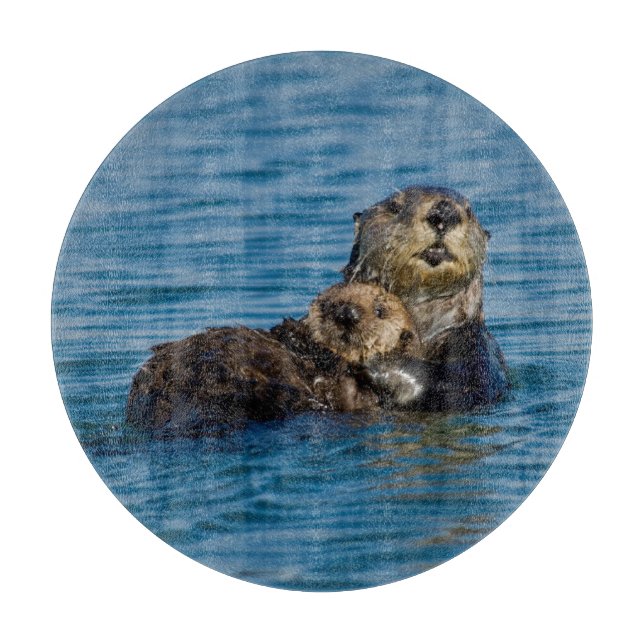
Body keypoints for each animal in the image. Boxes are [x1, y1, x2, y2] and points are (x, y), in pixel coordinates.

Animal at [343, 186, 509, 411]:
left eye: (469, 211)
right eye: (394, 206)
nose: (444, 212)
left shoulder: (475, 351)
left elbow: (456, 389)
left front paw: (374, 358)